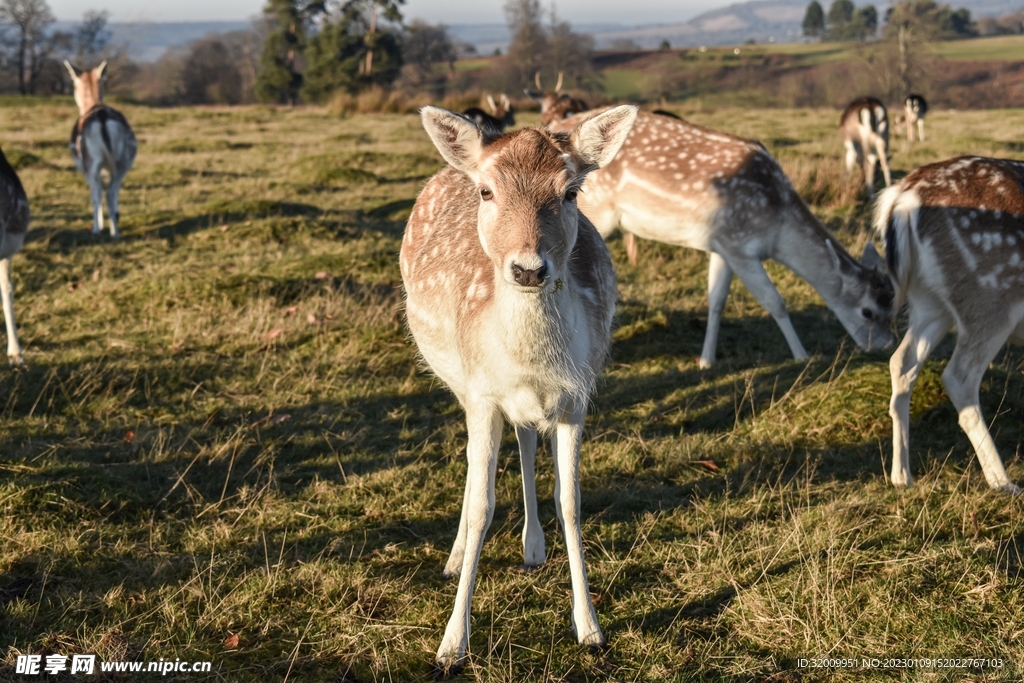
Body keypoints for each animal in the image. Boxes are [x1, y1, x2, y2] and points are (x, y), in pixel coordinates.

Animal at [64, 61, 137, 238]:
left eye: (74, 84)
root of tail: (103, 118)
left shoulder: (83, 167)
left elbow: (94, 191)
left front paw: (100, 224)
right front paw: (113, 217)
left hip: (90, 160)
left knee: (99, 191)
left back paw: (100, 230)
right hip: (123, 160)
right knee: (112, 190)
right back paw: (115, 227)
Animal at [400, 104, 637, 675]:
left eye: (571, 191)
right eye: (487, 192)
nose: (529, 269)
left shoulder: (577, 397)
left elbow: (570, 501)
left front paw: (590, 629)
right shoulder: (483, 394)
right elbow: (482, 505)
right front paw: (451, 646)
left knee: (527, 435)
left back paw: (533, 547)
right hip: (459, 383)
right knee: (475, 466)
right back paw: (455, 557)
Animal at [539, 107, 895, 369]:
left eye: (892, 304)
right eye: (868, 311)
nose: (884, 346)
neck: (776, 225)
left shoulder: (721, 244)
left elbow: (716, 300)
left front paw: (706, 361)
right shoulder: (739, 245)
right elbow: (775, 301)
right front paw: (802, 355)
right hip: (595, 214)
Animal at [874, 155, 1024, 494]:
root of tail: (901, 197)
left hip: (928, 301)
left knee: (901, 362)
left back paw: (902, 475)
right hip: (991, 299)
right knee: (959, 377)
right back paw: (1003, 482)